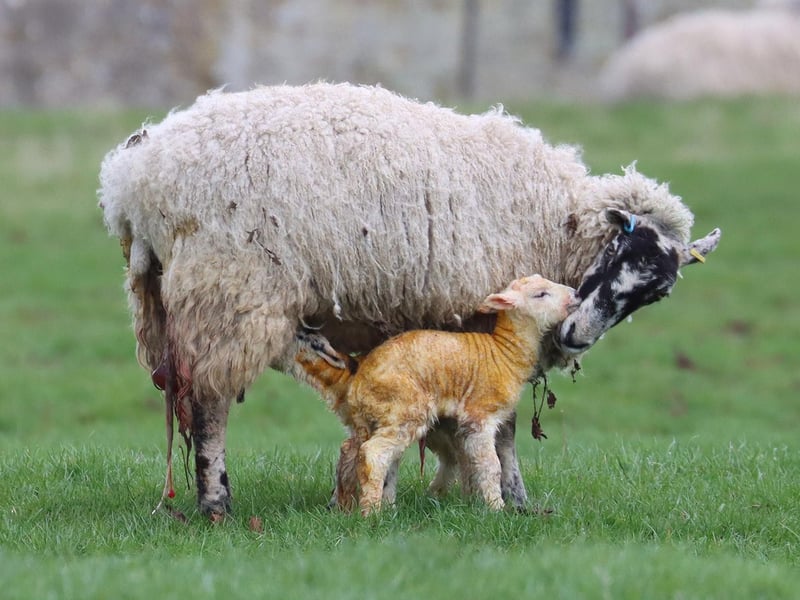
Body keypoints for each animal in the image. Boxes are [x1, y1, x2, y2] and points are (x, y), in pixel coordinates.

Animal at [292, 275, 577, 514]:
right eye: (540, 294)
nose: (575, 294)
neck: (504, 352)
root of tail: (359, 378)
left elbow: (468, 463)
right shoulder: (480, 416)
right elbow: (490, 465)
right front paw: (496, 508)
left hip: (371, 417)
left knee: (353, 450)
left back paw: (356, 504)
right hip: (405, 410)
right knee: (374, 453)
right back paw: (371, 512)